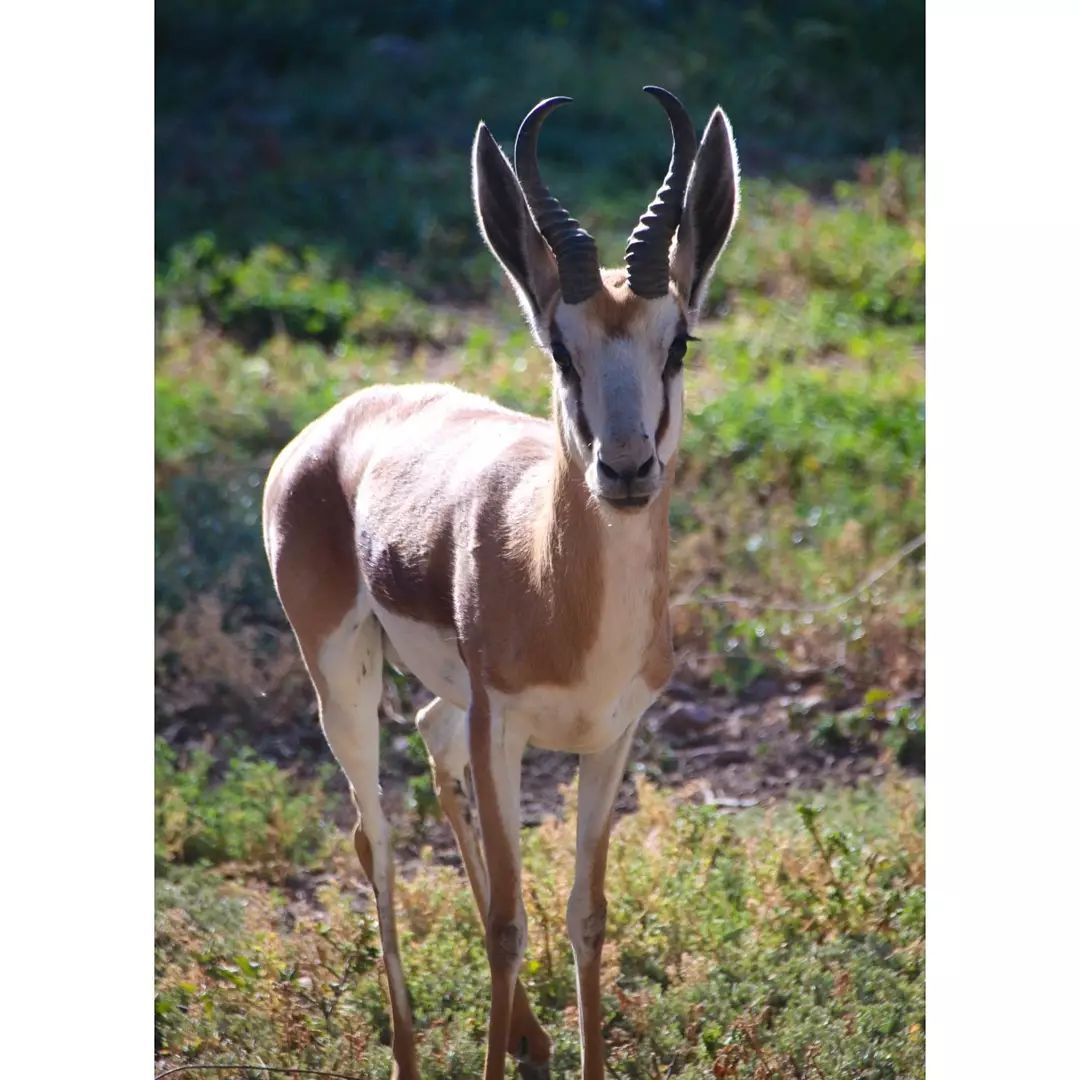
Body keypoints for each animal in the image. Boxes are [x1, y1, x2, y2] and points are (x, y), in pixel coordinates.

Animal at [263, 86, 739, 1079]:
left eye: (678, 341)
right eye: (561, 347)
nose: (625, 469)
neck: (564, 599)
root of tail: (340, 418)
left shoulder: (612, 739)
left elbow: (586, 916)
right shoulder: (505, 728)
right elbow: (511, 926)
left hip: (449, 702)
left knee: (428, 736)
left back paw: (531, 1035)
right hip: (342, 678)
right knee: (374, 836)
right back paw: (412, 1052)